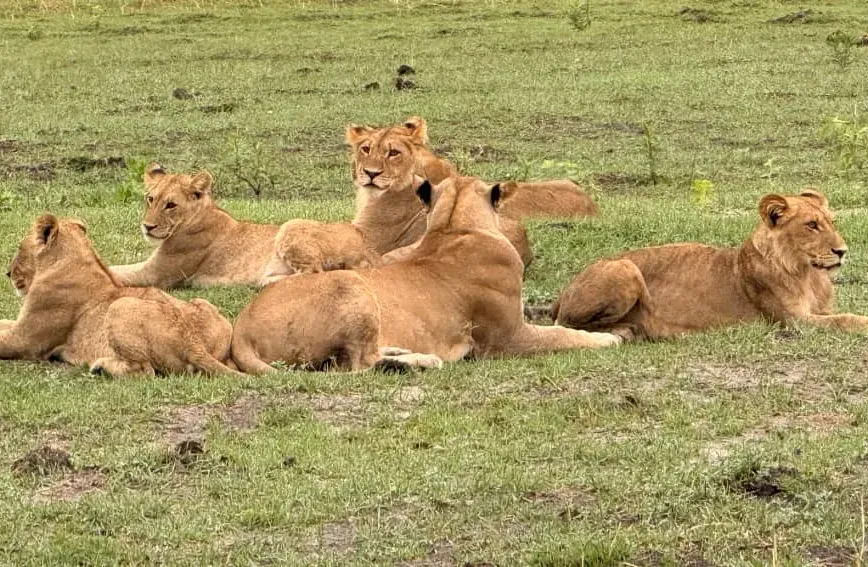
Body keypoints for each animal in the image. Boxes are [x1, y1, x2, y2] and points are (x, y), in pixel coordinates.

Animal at [0, 215, 240, 377]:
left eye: (19, 248)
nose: (8, 273)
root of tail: (192, 342)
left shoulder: (24, 341)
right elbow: (3, 321)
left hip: (120, 305)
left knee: (145, 371)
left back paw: (101, 367)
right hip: (206, 307)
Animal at [110, 163, 279, 289]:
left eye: (171, 205)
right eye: (151, 199)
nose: (147, 226)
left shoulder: (154, 275)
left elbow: (115, 274)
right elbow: (114, 267)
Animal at [232, 176, 620, 374]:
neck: (454, 226)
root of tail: (242, 327)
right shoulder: (507, 339)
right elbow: (562, 336)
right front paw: (607, 339)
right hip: (352, 283)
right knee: (359, 364)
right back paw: (423, 361)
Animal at [551, 190, 868, 339]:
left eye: (832, 222)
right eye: (812, 225)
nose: (842, 251)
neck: (809, 275)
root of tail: (564, 290)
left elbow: (840, 315)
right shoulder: (793, 321)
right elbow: (845, 319)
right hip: (625, 267)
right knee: (568, 323)